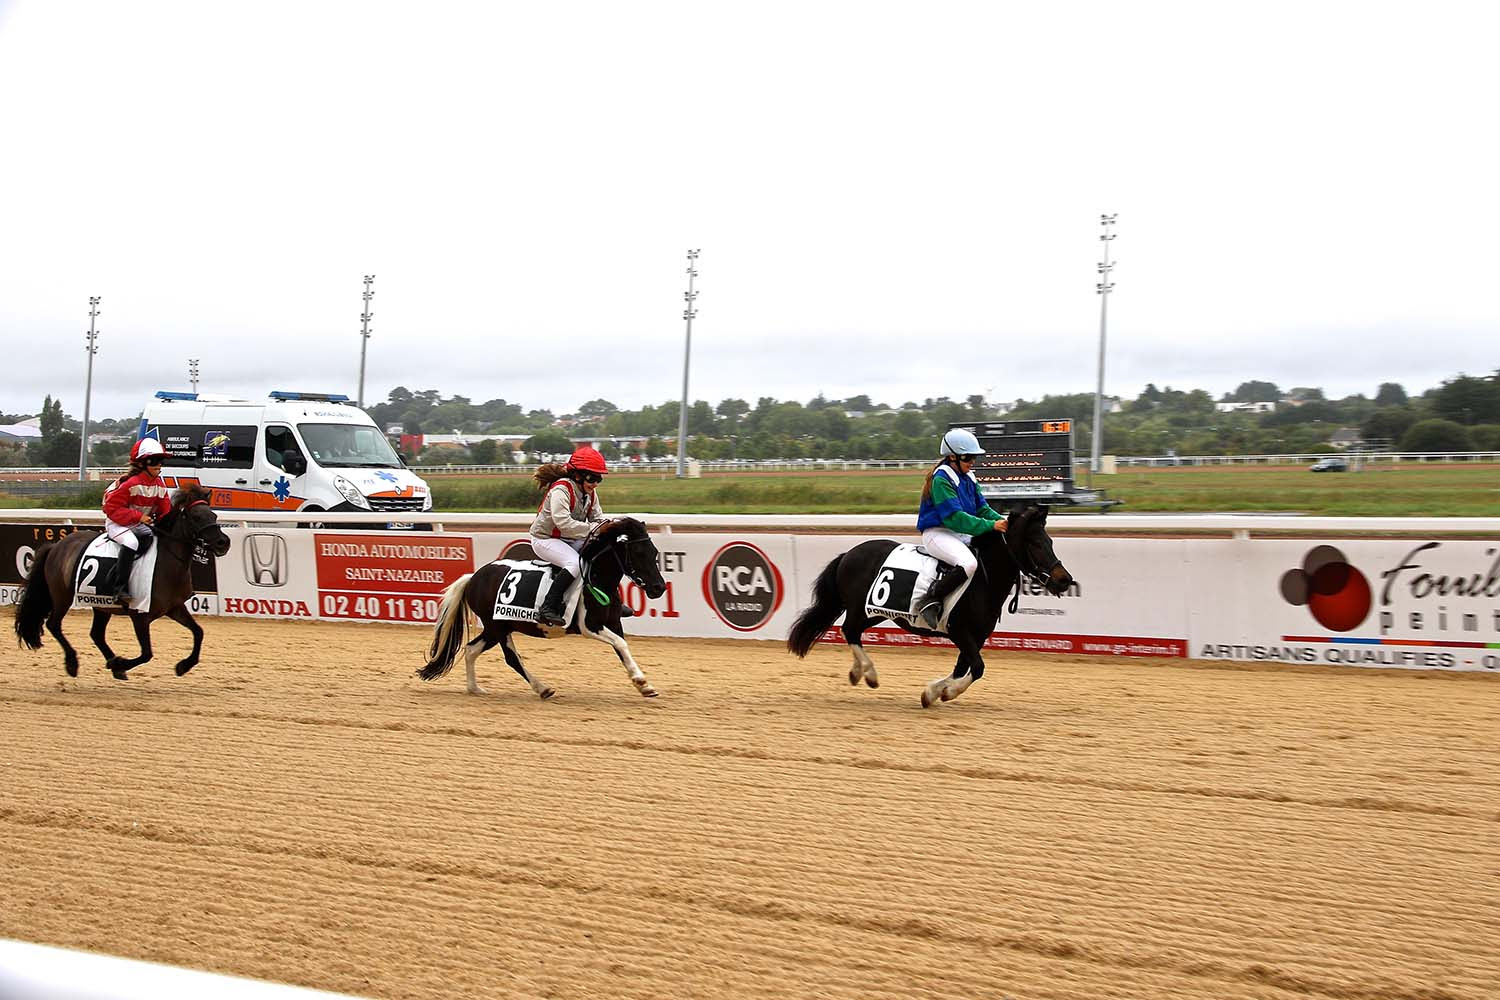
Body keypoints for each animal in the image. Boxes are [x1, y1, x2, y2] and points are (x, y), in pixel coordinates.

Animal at [11, 485, 232, 680]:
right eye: (196, 517)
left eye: (214, 516)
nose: (223, 543)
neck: (166, 562)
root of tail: (56, 546)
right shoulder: (139, 615)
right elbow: (147, 654)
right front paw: (120, 662)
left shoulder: (174, 607)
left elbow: (198, 632)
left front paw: (183, 665)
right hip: (61, 596)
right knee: (54, 624)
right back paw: (74, 663)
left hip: (100, 605)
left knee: (96, 634)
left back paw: (113, 665)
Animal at [417, 521, 663, 701]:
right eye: (638, 553)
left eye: (654, 552)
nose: (659, 587)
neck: (596, 578)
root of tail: (474, 577)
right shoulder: (590, 626)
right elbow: (620, 644)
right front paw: (641, 681)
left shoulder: (613, 622)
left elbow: (622, 648)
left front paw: (644, 685)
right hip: (497, 626)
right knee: (511, 658)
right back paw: (542, 688)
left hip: (497, 627)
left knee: (470, 650)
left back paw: (474, 688)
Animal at [792, 503, 1074, 707]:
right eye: (1034, 543)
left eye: (1050, 542)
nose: (1064, 580)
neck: (983, 580)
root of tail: (849, 554)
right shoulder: (959, 631)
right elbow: (977, 668)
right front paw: (945, 692)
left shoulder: (977, 636)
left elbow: (963, 668)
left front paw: (934, 692)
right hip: (860, 607)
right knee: (849, 630)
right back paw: (869, 674)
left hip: (876, 612)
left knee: (853, 631)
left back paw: (857, 673)